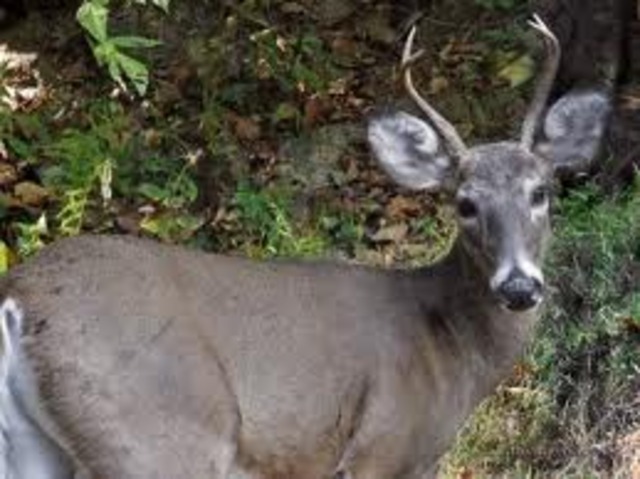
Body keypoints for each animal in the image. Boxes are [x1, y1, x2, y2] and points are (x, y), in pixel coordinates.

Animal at [0, 15, 611, 479]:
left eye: (541, 191)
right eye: (464, 203)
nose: (519, 286)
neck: (446, 345)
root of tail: (16, 298)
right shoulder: (382, 446)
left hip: (31, 447)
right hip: (156, 437)